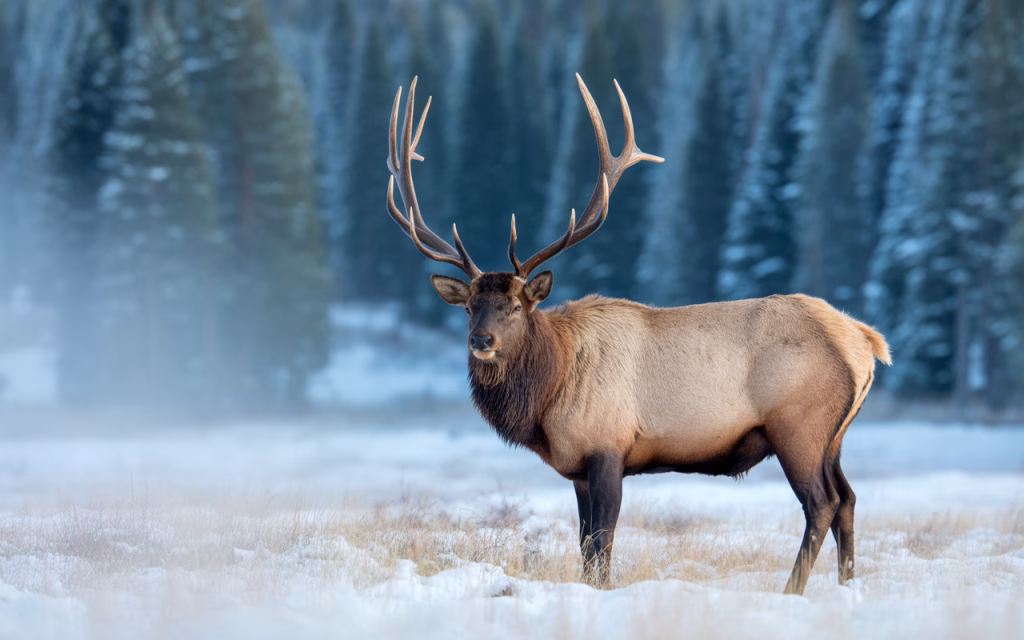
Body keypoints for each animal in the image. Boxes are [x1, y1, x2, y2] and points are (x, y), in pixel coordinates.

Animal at [384, 75, 892, 595]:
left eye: (516, 307)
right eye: (469, 308)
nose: (481, 341)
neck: (549, 393)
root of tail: (864, 340)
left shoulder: (608, 447)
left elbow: (602, 542)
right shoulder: (578, 469)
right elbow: (585, 545)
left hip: (800, 426)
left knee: (822, 503)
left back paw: (792, 589)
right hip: (833, 437)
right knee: (848, 499)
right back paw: (847, 584)